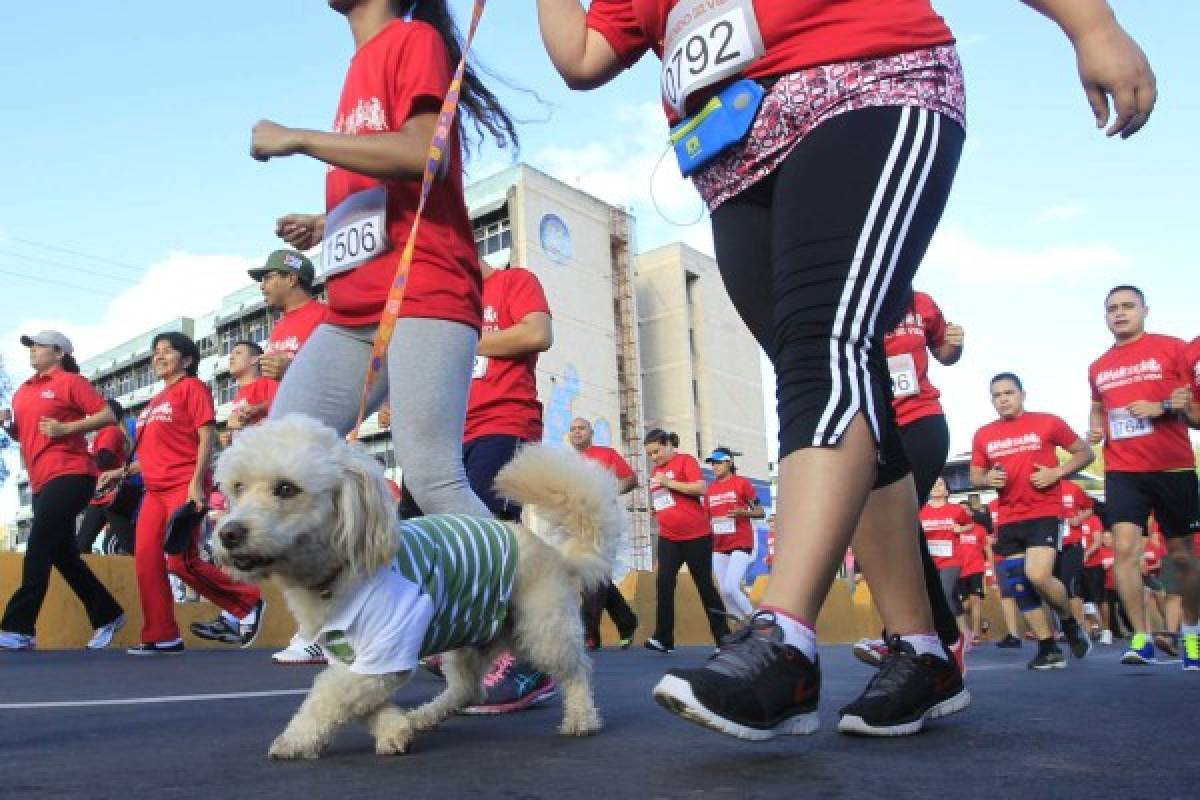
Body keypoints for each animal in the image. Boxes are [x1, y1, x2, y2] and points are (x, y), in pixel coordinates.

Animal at [216, 417, 624, 762]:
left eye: (286, 489)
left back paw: (581, 719)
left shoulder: (387, 650)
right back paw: (422, 717)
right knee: (468, 690)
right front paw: (394, 728)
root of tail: (555, 552)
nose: (227, 533)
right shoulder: (354, 656)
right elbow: (355, 698)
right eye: (237, 487)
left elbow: (328, 695)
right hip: (470, 636)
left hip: (544, 629)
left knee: (576, 671)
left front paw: (297, 739)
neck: (337, 572)